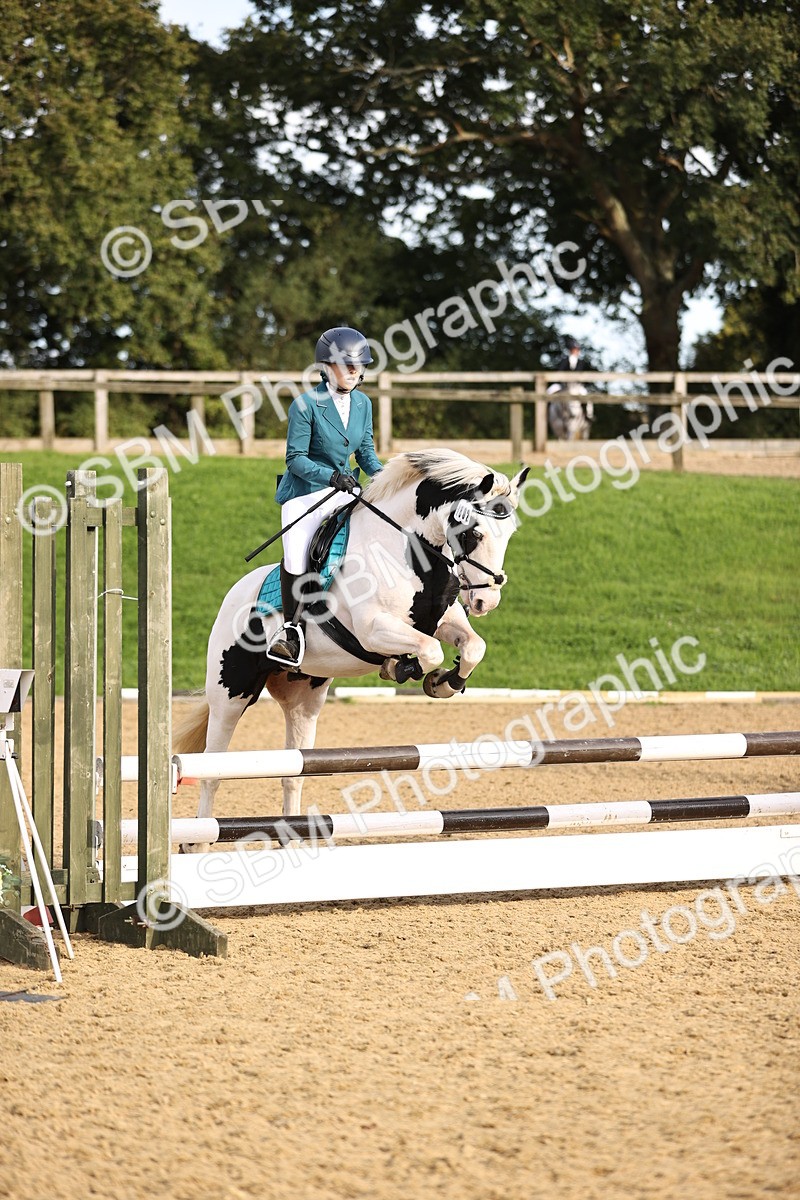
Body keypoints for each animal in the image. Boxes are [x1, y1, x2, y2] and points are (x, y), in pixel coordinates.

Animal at [174, 449, 529, 834]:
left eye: (511, 532)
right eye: (474, 533)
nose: (485, 601)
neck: (404, 548)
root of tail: (232, 597)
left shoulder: (444, 620)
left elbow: (472, 647)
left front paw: (442, 683)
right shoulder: (373, 629)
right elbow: (430, 650)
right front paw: (401, 667)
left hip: (303, 701)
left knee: (293, 773)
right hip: (230, 694)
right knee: (212, 771)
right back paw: (197, 838)